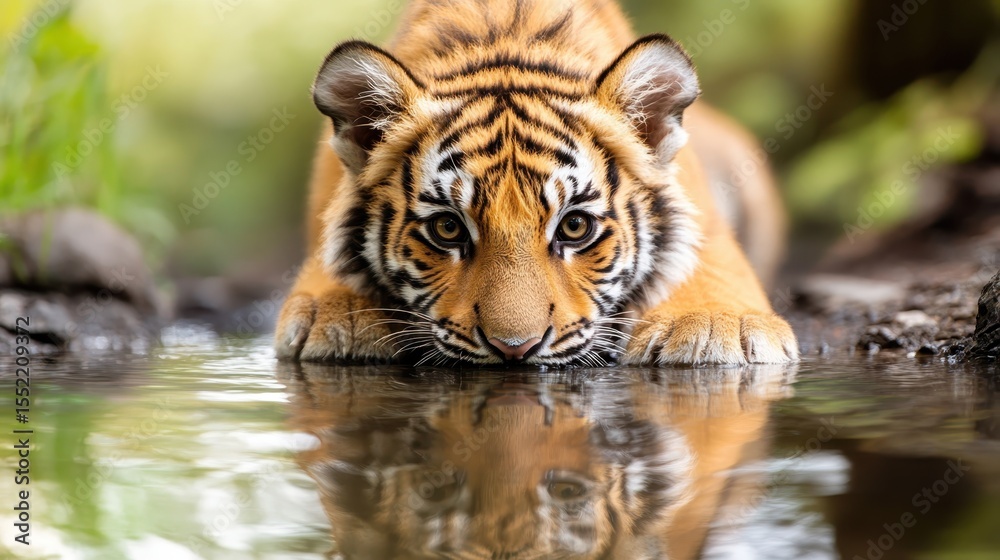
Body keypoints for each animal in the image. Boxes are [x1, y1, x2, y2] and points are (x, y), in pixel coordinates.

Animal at [274, 0, 798, 366]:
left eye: (574, 228)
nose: (514, 349)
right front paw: (337, 318)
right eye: (447, 229)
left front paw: (713, 328)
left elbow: (710, 259)